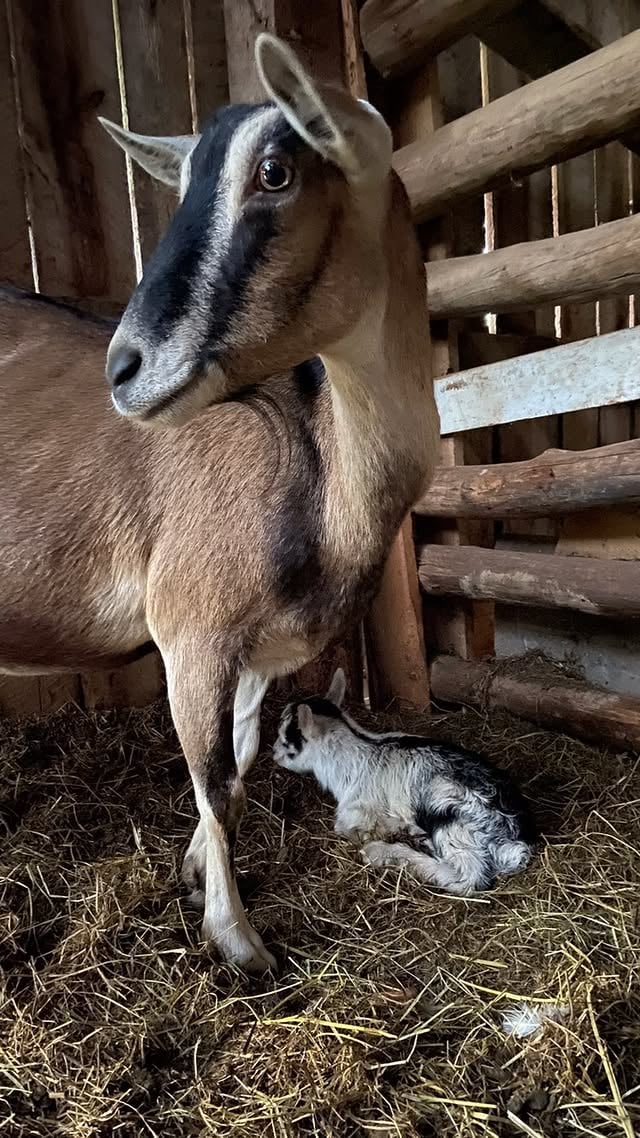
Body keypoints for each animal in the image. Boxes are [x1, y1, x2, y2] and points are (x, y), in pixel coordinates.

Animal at [0, 36, 439, 971]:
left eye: (274, 171)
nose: (124, 368)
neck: (319, 469)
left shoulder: (259, 654)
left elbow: (234, 776)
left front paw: (196, 874)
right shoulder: (191, 633)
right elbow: (210, 779)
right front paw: (239, 941)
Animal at [274, 669, 537, 894]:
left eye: (286, 740)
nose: (273, 753)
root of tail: (514, 839)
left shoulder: (356, 814)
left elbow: (349, 829)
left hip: (449, 810)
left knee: (468, 877)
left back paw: (382, 852)